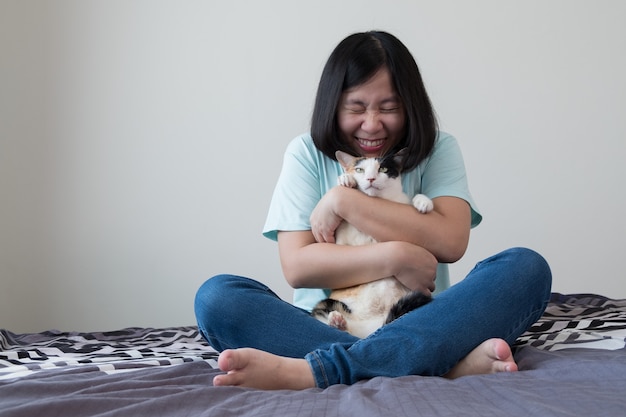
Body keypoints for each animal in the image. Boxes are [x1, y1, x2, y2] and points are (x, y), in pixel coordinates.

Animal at [308, 150, 434, 338]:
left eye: (383, 169)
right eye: (359, 170)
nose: (370, 179)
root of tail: (371, 331)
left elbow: (414, 197)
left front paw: (424, 202)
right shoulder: (338, 236)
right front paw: (347, 180)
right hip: (326, 303)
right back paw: (337, 322)